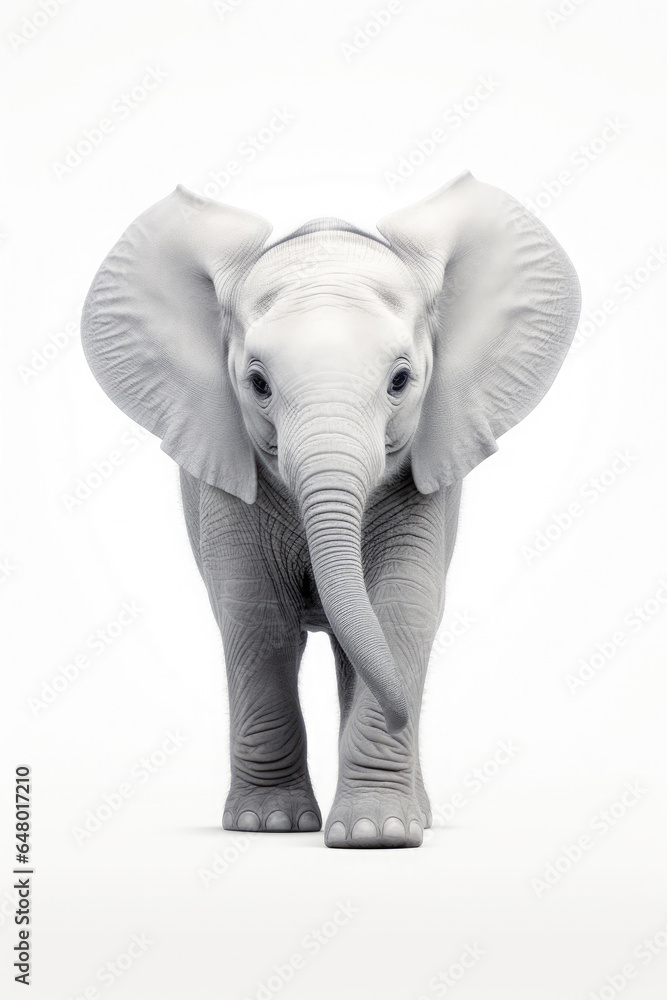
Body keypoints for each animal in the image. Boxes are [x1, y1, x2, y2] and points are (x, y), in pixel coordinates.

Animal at [81, 170, 580, 849]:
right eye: (258, 384)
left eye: (401, 381)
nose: (400, 720)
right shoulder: (228, 479)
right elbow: (256, 617)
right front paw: (267, 825)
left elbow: (400, 608)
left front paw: (377, 834)